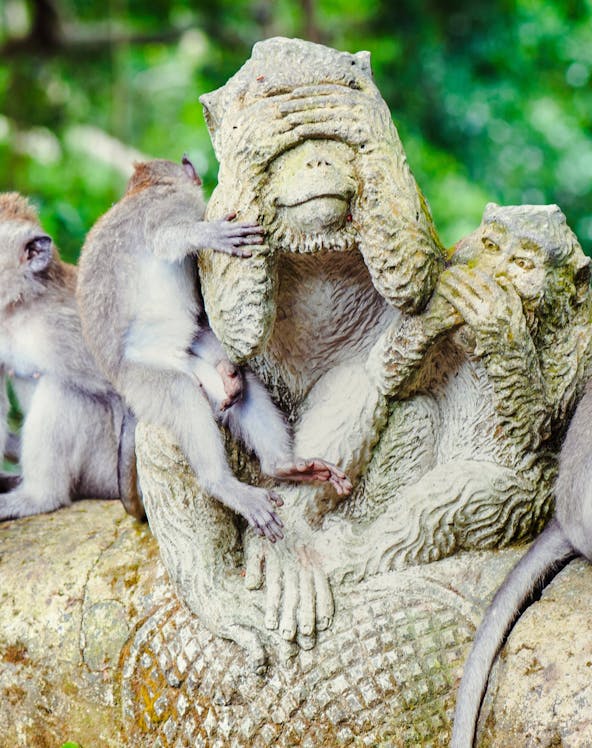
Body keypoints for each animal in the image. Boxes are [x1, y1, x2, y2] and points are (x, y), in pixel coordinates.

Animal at [76, 157, 351, 543]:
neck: (144, 189)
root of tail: (120, 384)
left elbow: (202, 322)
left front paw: (229, 368)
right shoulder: (169, 205)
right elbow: (165, 238)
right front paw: (210, 235)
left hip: (189, 366)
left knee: (232, 385)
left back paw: (283, 466)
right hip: (142, 381)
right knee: (180, 396)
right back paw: (222, 483)